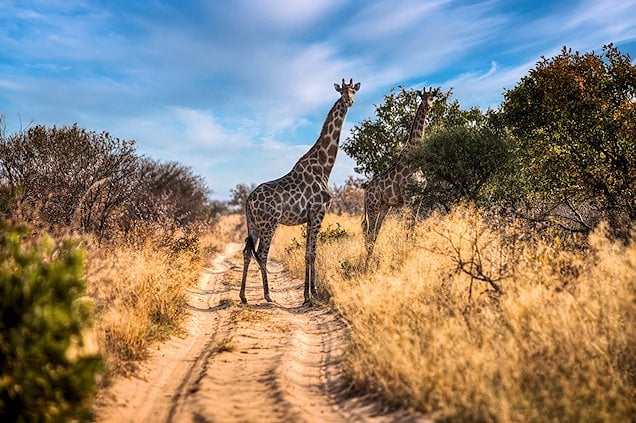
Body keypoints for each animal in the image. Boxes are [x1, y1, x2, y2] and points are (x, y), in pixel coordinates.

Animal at [240, 78, 360, 304]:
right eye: (341, 92)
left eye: (354, 92)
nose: (349, 101)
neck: (324, 167)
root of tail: (248, 200)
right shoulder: (318, 212)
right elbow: (310, 253)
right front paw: (308, 296)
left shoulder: (311, 216)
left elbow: (310, 252)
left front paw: (311, 291)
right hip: (269, 224)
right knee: (263, 254)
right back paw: (268, 295)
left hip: (253, 224)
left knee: (247, 252)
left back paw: (243, 296)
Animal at [360, 86, 440, 258]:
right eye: (422, 97)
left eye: (432, 97)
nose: (427, 106)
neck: (416, 162)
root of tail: (366, 191)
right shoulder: (408, 197)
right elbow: (407, 227)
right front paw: (405, 251)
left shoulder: (419, 198)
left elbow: (413, 226)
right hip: (373, 206)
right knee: (369, 233)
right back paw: (367, 261)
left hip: (384, 207)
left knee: (375, 233)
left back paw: (371, 259)